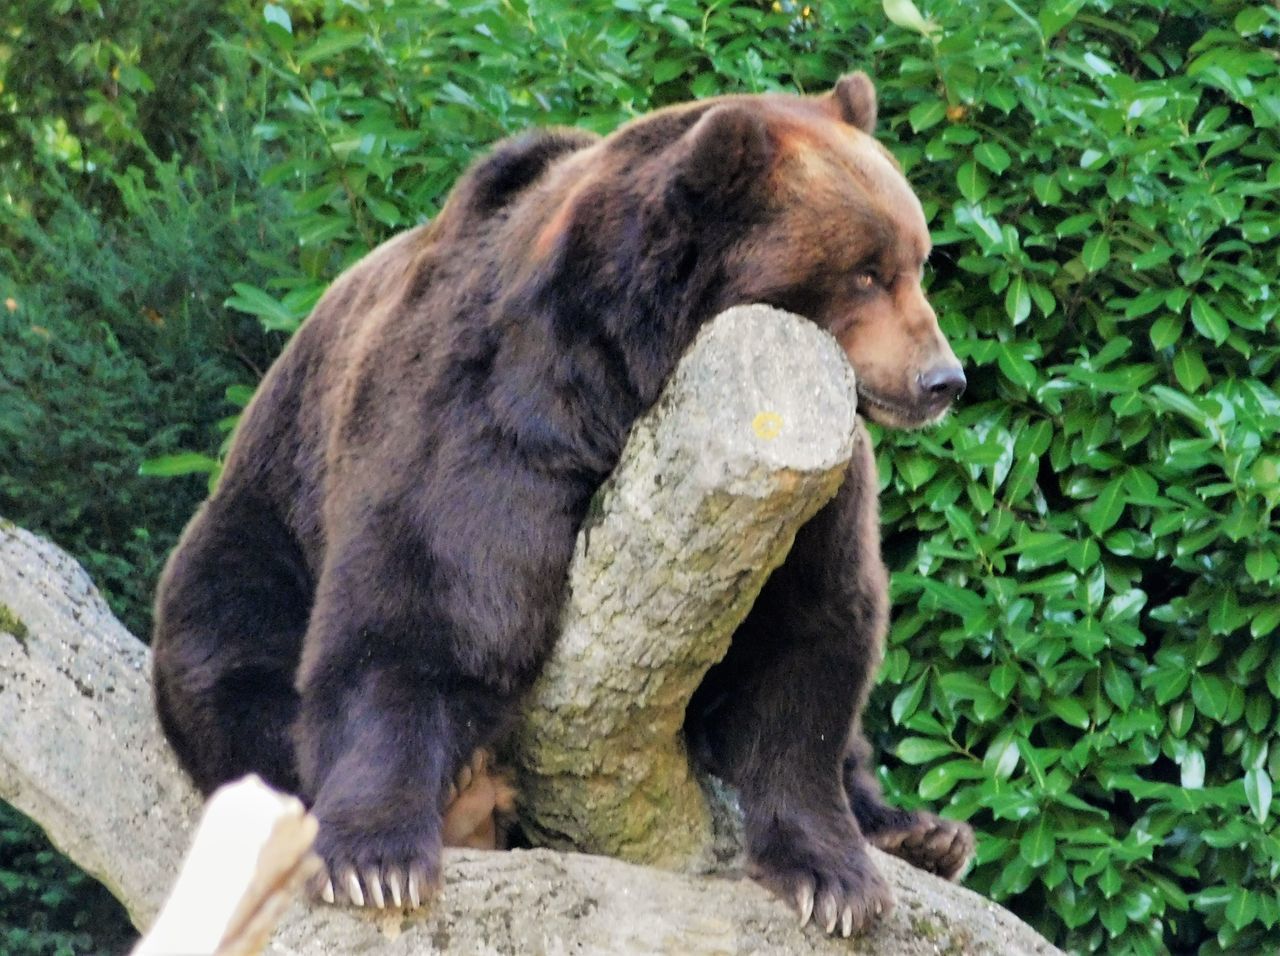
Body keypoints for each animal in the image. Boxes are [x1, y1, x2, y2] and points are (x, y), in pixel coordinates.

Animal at [152, 72, 967, 936]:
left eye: (916, 260)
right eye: (866, 272)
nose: (942, 379)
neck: (632, 373)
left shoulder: (811, 488)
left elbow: (809, 641)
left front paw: (833, 878)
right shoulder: (497, 411)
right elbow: (425, 602)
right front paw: (376, 860)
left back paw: (922, 832)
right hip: (259, 520)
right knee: (232, 651)